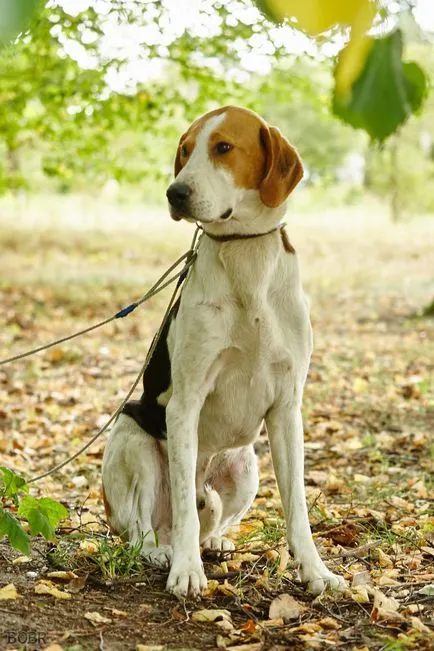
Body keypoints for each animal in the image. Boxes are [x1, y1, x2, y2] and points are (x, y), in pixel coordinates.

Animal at [102, 104, 346, 600]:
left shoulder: (287, 407)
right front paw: (186, 572)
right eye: (184, 150)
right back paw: (164, 552)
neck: (244, 255)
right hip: (133, 441)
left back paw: (214, 543)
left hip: (246, 466)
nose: (175, 193)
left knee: (205, 520)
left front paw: (315, 571)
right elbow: (184, 508)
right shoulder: (185, 403)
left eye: (224, 147)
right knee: (146, 529)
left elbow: (298, 510)